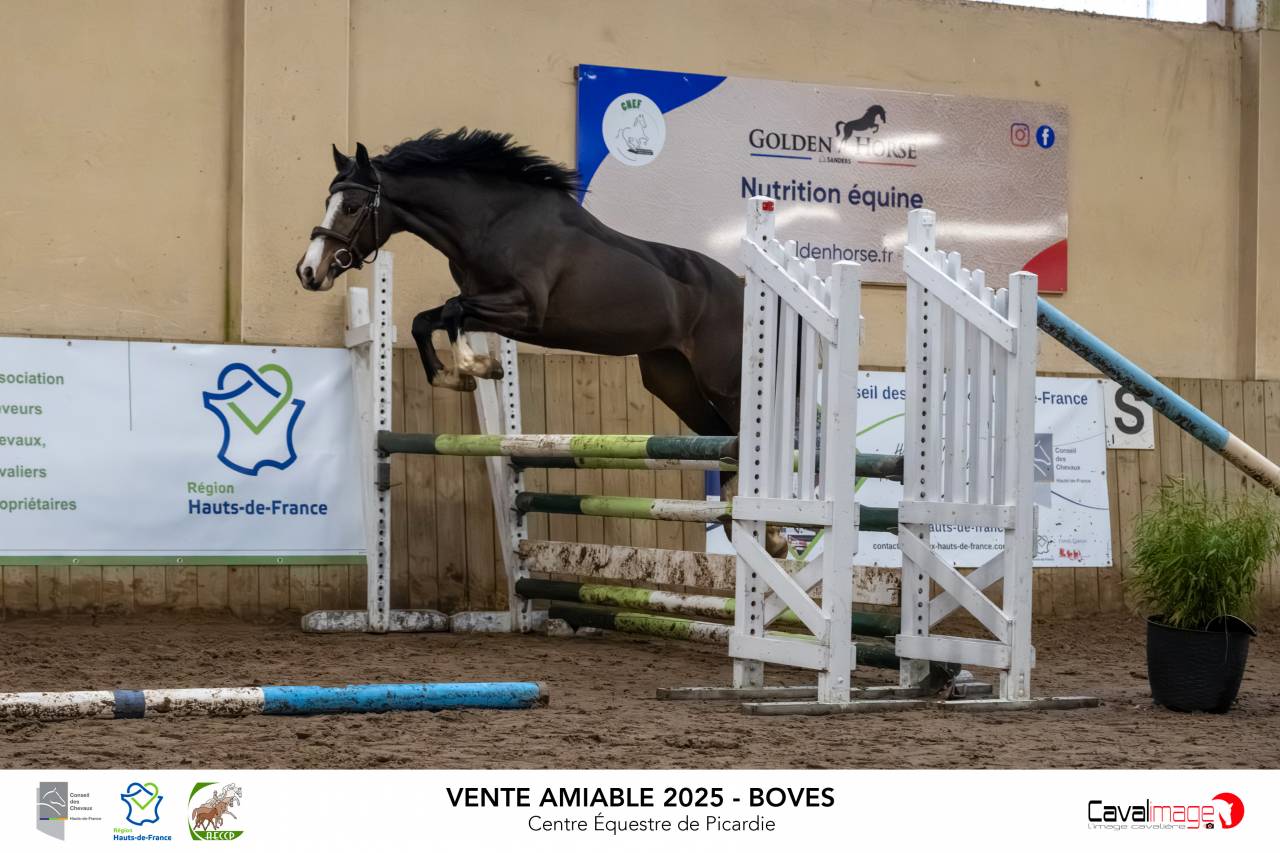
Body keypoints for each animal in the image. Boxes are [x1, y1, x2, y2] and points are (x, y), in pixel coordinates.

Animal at [297, 129, 743, 438]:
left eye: (352, 207)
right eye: (328, 202)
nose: (308, 271)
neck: (492, 223)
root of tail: (741, 287)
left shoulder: (524, 310)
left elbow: (451, 311)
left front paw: (480, 367)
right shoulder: (491, 308)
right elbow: (427, 320)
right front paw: (454, 377)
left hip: (725, 383)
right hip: (672, 380)